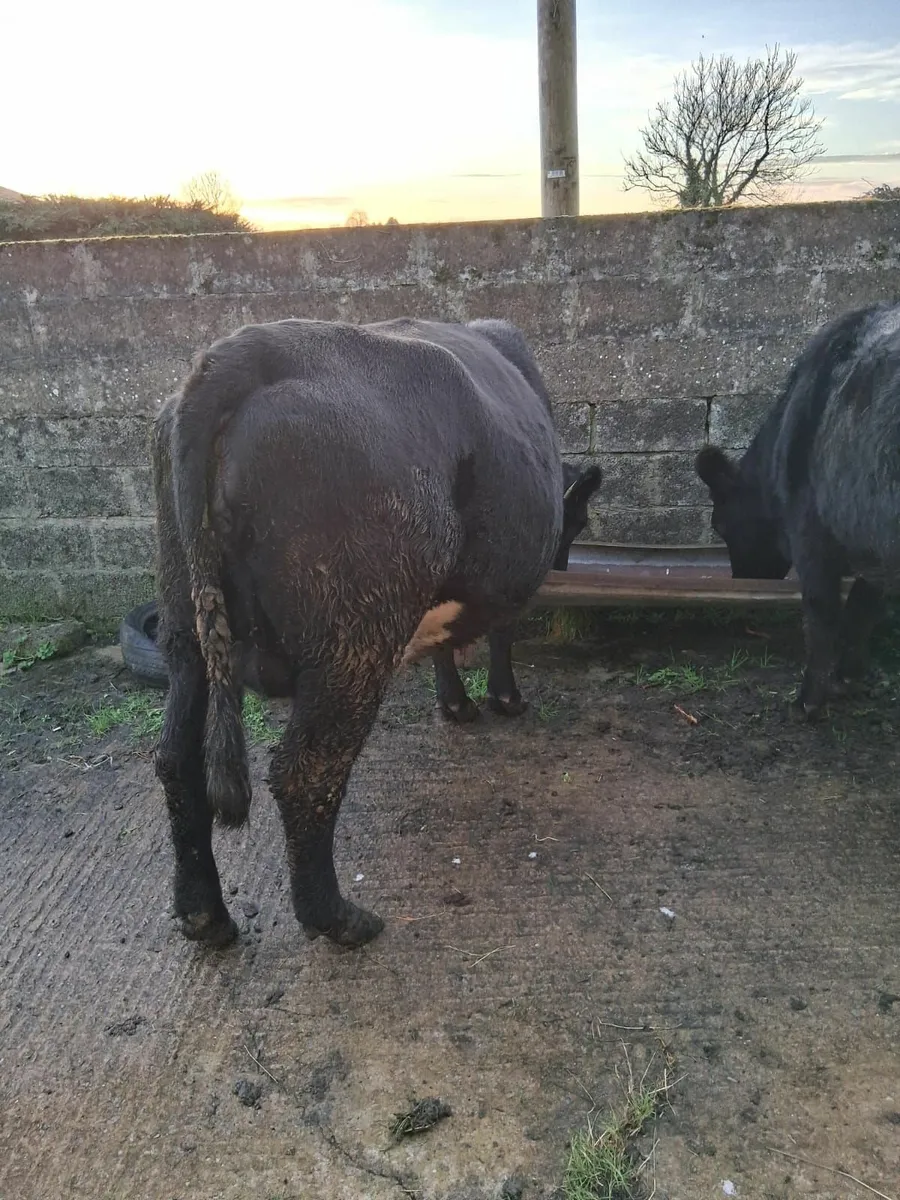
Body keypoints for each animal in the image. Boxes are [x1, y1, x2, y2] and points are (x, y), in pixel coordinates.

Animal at [152, 315, 602, 951]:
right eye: (579, 519)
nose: (564, 562)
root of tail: (241, 350)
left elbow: (445, 644)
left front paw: (455, 704)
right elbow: (499, 634)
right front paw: (503, 700)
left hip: (185, 629)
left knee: (177, 759)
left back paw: (204, 914)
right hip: (353, 645)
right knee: (305, 773)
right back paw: (337, 918)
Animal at [696, 301, 900, 719]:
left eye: (720, 525)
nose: (741, 582)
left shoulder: (811, 533)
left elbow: (825, 611)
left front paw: (810, 699)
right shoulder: (868, 547)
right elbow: (862, 610)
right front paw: (849, 676)